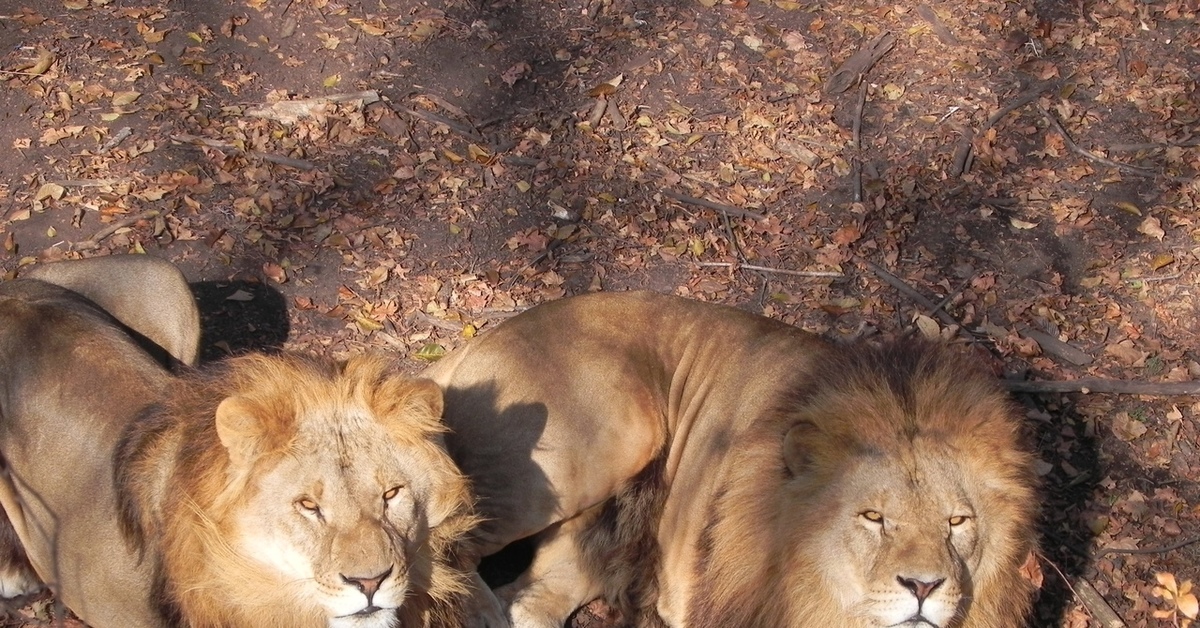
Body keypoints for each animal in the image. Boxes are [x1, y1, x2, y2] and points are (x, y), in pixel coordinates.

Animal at [427, 292, 1036, 628]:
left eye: (957, 522)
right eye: (873, 517)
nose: (924, 588)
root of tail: (482, 339)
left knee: (529, 600)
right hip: (609, 430)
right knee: (448, 539)